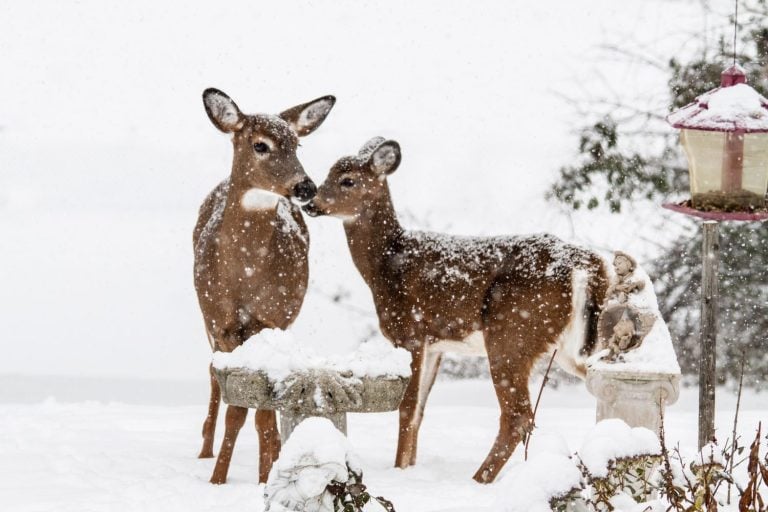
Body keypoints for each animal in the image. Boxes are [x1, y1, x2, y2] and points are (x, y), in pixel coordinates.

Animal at [194, 88, 335, 484]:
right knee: (212, 377)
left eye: (297, 144)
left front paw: (263, 475)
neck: (245, 275)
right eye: (260, 144)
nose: (305, 186)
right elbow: (237, 406)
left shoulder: (272, 321)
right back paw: (205, 449)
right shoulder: (222, 324)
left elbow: (259, 410)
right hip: (208, 324)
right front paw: (217, 479)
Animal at [303, 137, 610, 483]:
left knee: (517, 415)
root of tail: (584, 263)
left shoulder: (411, 331)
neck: (387, 265)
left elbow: (407, 407)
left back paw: (479, 480)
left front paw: (399, 471)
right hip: (572, 344)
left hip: (510, 332)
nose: (311, 204)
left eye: (348, 180)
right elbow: (420, 410)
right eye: (328, 174)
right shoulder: (436, 344)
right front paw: (408, 468)